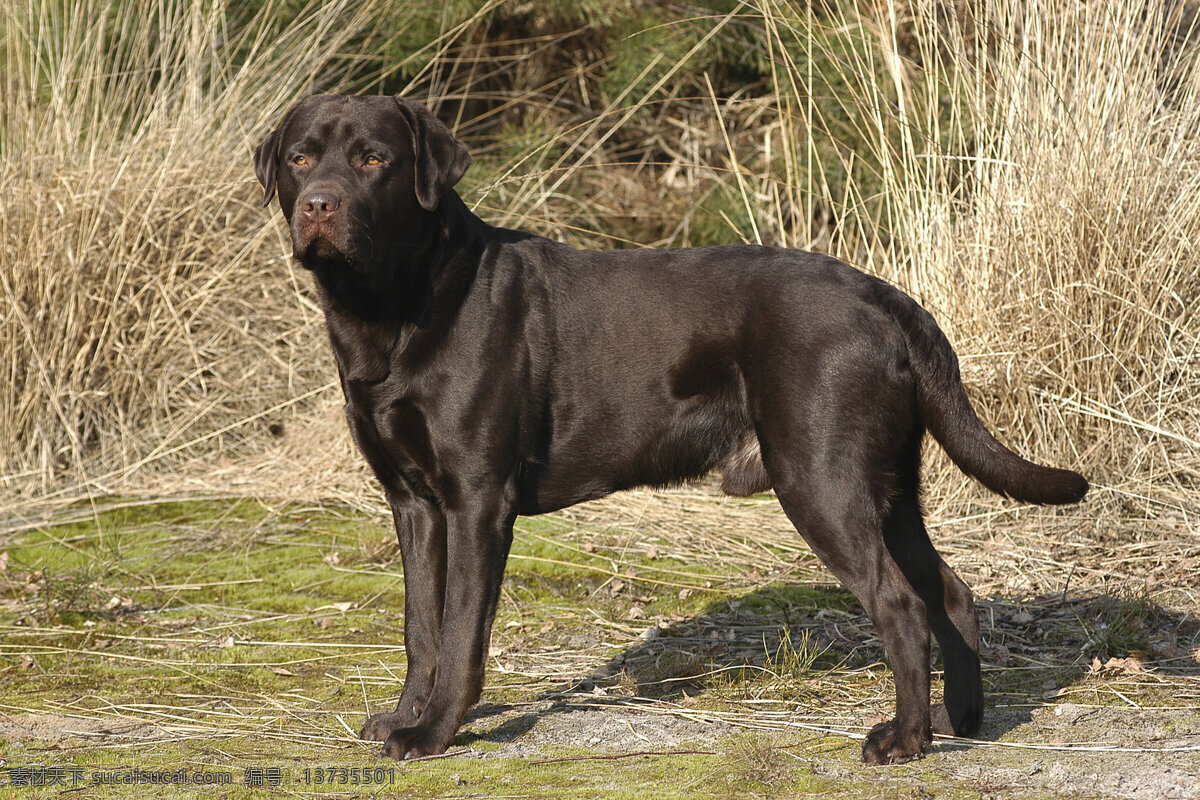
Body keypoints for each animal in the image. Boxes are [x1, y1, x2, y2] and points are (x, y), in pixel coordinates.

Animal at [253, 94, 1089, 762]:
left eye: (374, 160)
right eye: (301, 157)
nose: (320, 204)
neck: (394, 307)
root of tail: (887, 298)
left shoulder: (476, 500)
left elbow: (460, 633)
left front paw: (431, 735)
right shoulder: (414, 502)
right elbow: (419, 626)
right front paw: (402, 719)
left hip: (820, 477)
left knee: (902, 606)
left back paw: (902, 741)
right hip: (886, 484)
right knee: (949, 591)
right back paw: (961, 721)